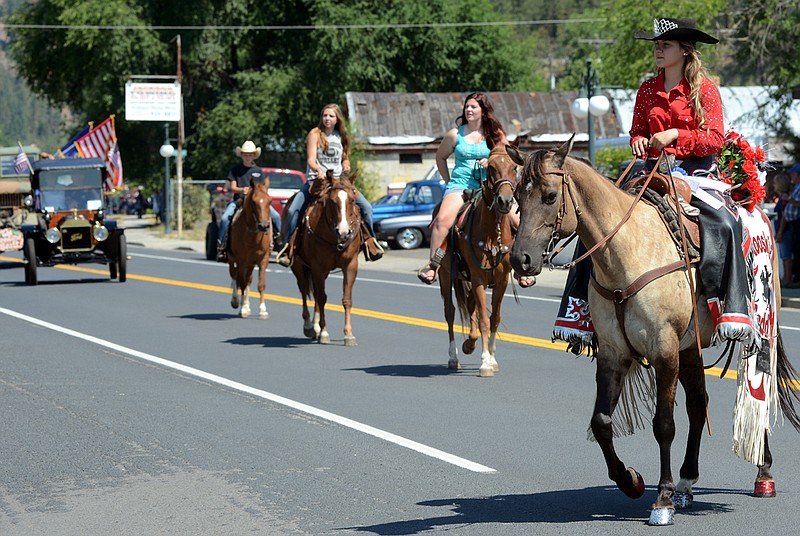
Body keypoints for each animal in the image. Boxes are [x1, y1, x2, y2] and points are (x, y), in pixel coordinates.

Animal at [227, 177, 274, 318]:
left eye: (270, 201)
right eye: (254, 202)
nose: (263, 226)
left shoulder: (263, 260)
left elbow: (260, 284)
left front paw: (263, 310)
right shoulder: (241, 261)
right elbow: (241, 283)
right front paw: (243, 308)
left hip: (251, 263)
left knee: (248, 280)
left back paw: (246, 305)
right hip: (232, 259)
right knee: (234, 275)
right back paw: (237, 301)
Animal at [288, 172, 362, 348]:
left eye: (352, 200)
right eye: (332, 201)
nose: (344, 232)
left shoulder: (350, 265)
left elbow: (346, 299)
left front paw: (348, 335)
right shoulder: (318, 267)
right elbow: (322, 299)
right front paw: (324, 333)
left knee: (314, 293)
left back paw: (315, 327)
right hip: (299, 267)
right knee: (304, 292)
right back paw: (309, 327)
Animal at [438, 142, 520, 376]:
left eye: (514, 167)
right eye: (490, 167)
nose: (505, 201)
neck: (492, 233)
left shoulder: (500, 280)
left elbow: (494, 319)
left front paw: (491, 357)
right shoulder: (479, 279)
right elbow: (483, 319)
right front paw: (485, 362)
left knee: (469, 307)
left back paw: (470, 344)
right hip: (446, 275)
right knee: (450, 312)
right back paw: (454, 356)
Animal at [506, 138, 800, 528]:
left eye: (550, 195)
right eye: (516, 198)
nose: (520, 259)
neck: (626, 252)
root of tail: (756, 209)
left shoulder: (664, 350)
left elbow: (663, 424)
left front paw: (662, 500)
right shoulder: (614, 353)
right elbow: (601, 422)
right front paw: (631, 481)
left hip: (759, 333)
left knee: (759, 397)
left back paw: (762, 475)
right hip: (691, 349)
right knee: (698, 405)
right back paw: (687, 482)